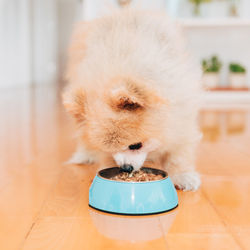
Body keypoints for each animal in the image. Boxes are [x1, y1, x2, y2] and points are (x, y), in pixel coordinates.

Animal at [62, 8, 201, 190]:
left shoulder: (180, 118)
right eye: (110, 148)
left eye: (135, 146)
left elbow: (178, 154)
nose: (125, 168)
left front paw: (183, 176)